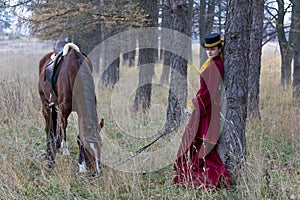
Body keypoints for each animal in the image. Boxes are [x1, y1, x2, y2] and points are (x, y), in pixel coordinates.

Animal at [38, 42, 102, 175]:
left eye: (101, 145)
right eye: (88, 148)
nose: (97, 172)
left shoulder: (79, 112)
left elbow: (78, 134)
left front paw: (82, 166)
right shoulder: (64, 109)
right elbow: (57, 138)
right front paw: (50, 164)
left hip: (55, 107)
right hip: (45, 104)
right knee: (49, 130)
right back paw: (48, 153)